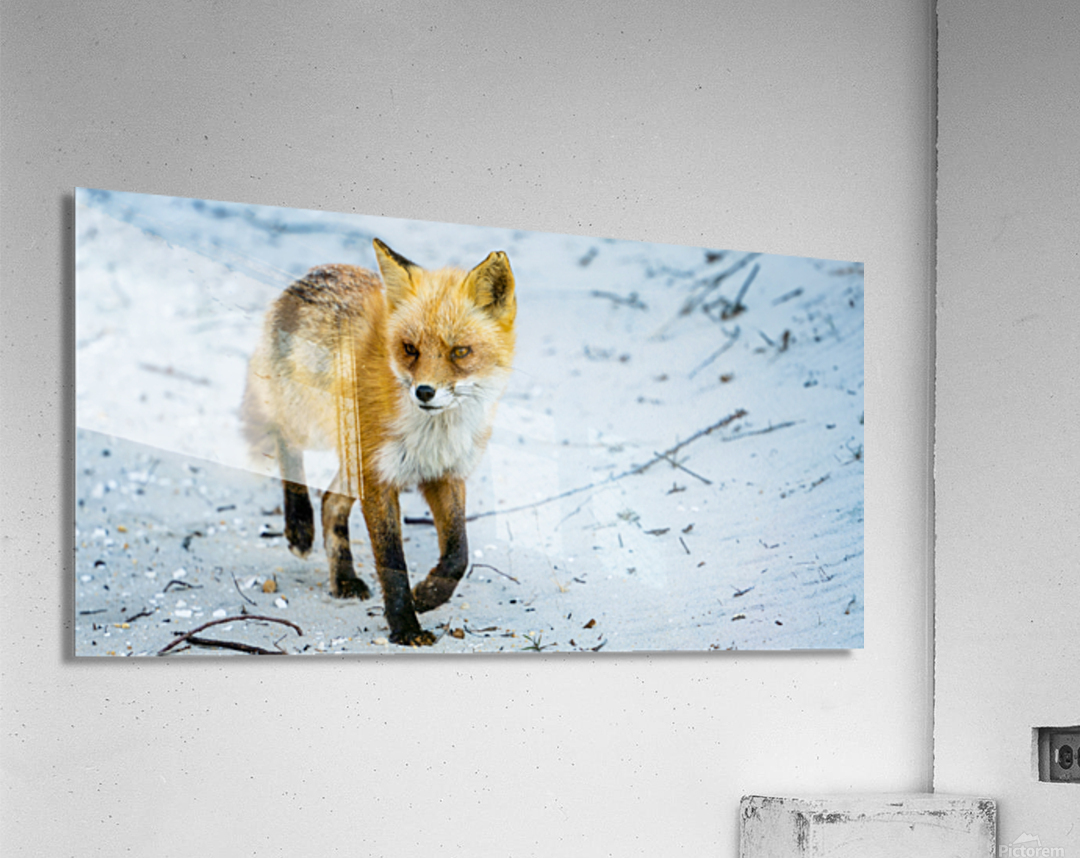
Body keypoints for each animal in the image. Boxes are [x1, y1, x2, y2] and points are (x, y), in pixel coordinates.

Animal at [242, 238, 516, 646]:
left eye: (460, 352)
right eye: (409, 348)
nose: (424, 392)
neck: (433, 433)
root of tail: (316, 272)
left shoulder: (445, 473)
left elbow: (458, 555)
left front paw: (428, 596)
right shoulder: (379, 478)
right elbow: (392, 561)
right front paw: (405, 627)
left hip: (351, 457)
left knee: (330, 502)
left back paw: (344, 580)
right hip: (310, 423)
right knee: (283, 439)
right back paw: (299, 526)